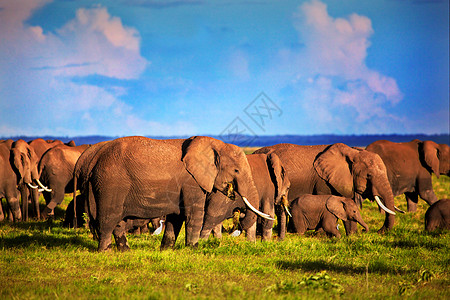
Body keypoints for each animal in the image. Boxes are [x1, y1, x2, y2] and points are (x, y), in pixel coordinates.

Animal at [73, 136, 270, 251]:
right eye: (236, 171)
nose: (239, 213)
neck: (215, 144)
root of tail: (94, 159)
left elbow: (177, 217)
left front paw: (166, 250)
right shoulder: (191, 181)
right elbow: (192, 214)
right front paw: (193, 250)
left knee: (118, 221)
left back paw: (125, 251)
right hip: (111, 183)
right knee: (109, 218)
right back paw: (105, 252)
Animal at [253, 142, 398, 238]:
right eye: (369, 175)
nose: (378, 231)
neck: (353, 152)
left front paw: (352, 236)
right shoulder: (323, 181)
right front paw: (322, 235)